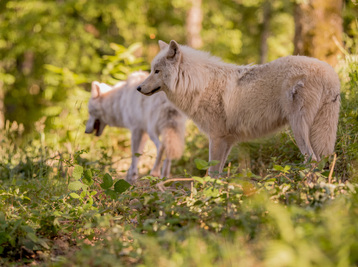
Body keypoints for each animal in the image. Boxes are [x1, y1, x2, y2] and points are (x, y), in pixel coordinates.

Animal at [138, 40, 342, 176]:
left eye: (156, 71)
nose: (138, 88)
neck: (198, 84)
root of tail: (330, 73)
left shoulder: (216, 137)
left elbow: (211, 173)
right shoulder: (227, 141)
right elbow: (219, 173)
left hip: (299, 128)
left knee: (312, 159)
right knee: (324, 159)